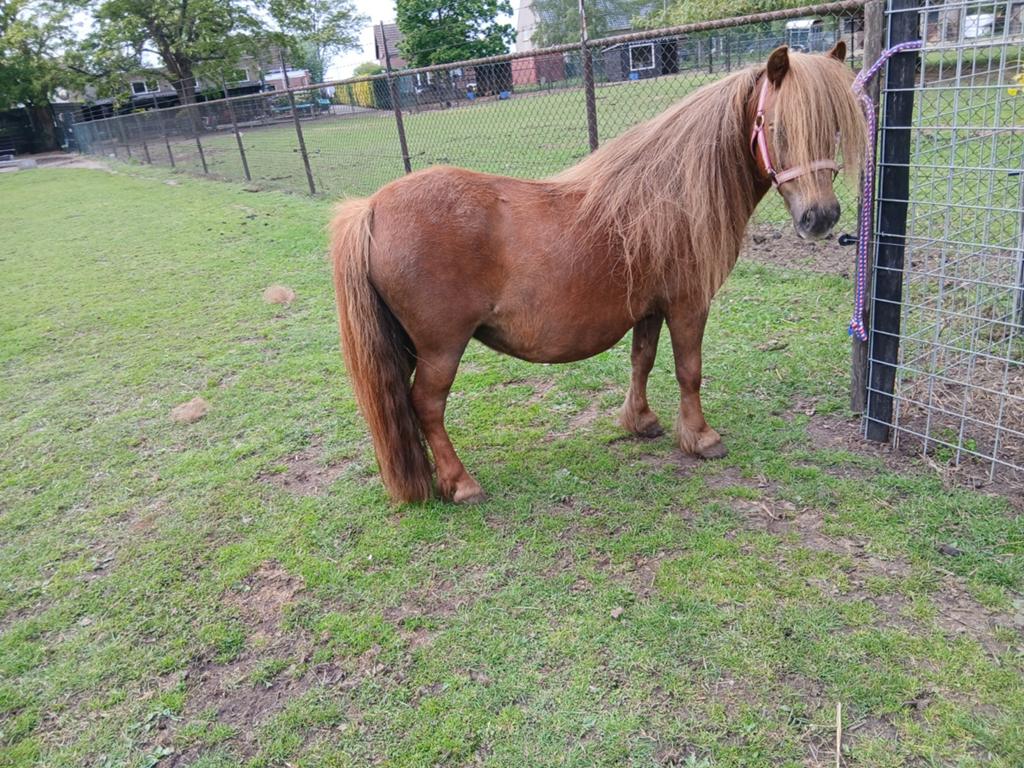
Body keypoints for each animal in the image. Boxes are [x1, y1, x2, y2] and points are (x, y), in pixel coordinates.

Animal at [331, 44, 866, 503]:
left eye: (835, 128)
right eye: (778, 127)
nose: (821, 218)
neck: (669, 197)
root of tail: (371, 209)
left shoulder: (649, 308)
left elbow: (642, 362)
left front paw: (641, 421)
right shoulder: (688, 304)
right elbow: (689, 371)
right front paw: (700, 437)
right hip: (441, 349)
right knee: (427, 406)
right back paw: (461, 483)